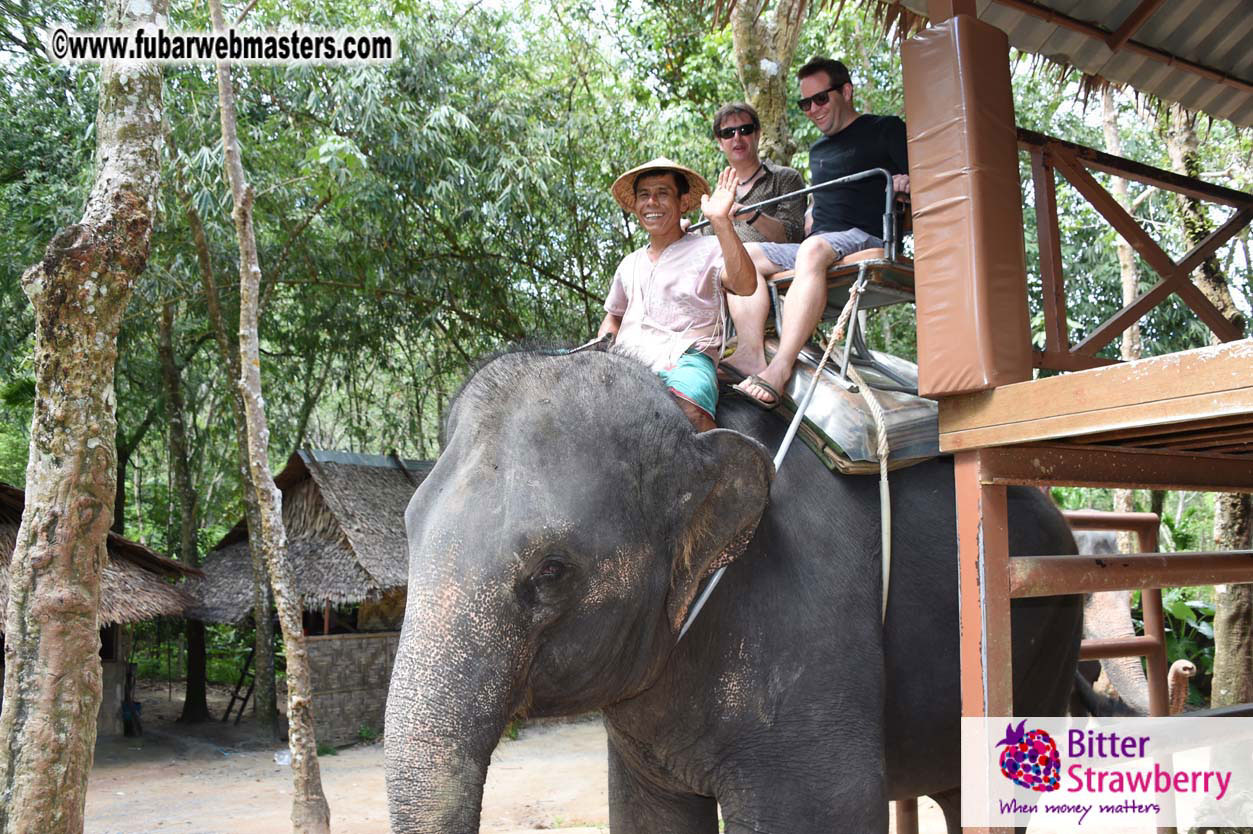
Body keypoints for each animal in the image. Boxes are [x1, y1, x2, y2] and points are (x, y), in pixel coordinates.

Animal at [384, 347, 1084, 834]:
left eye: (551, 571)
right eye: (407, 531)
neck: (694, 435)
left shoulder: (808, 628)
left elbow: (824, 813)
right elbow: (648, 819)